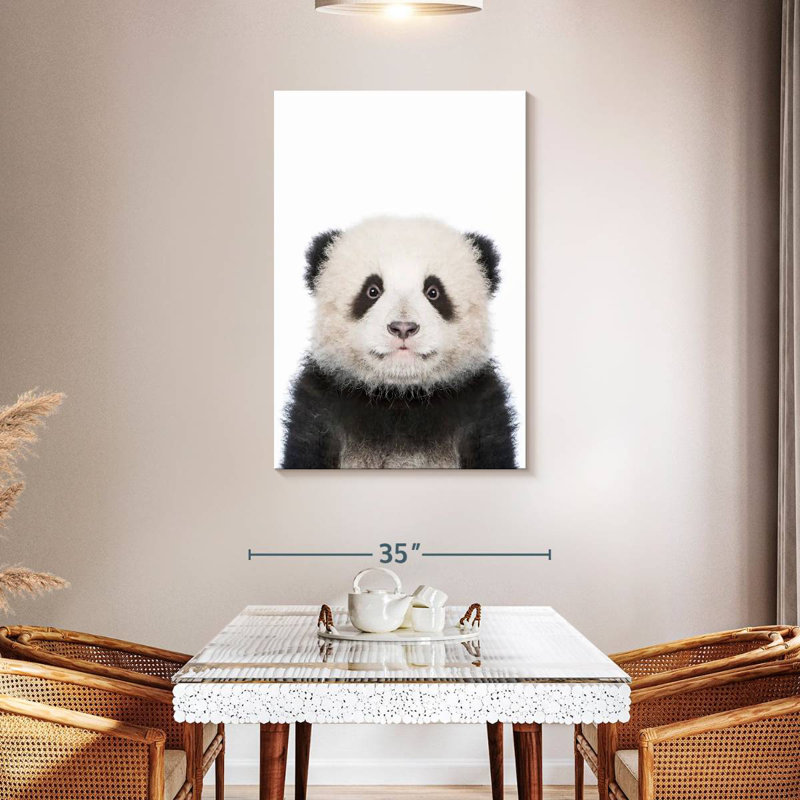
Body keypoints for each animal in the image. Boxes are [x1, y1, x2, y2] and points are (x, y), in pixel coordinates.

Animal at [281, 216, 517, 469]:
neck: (400, 396)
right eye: (372, 290)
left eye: (433, 292)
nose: (403, 327)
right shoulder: (320, 409)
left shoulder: (480, 411)